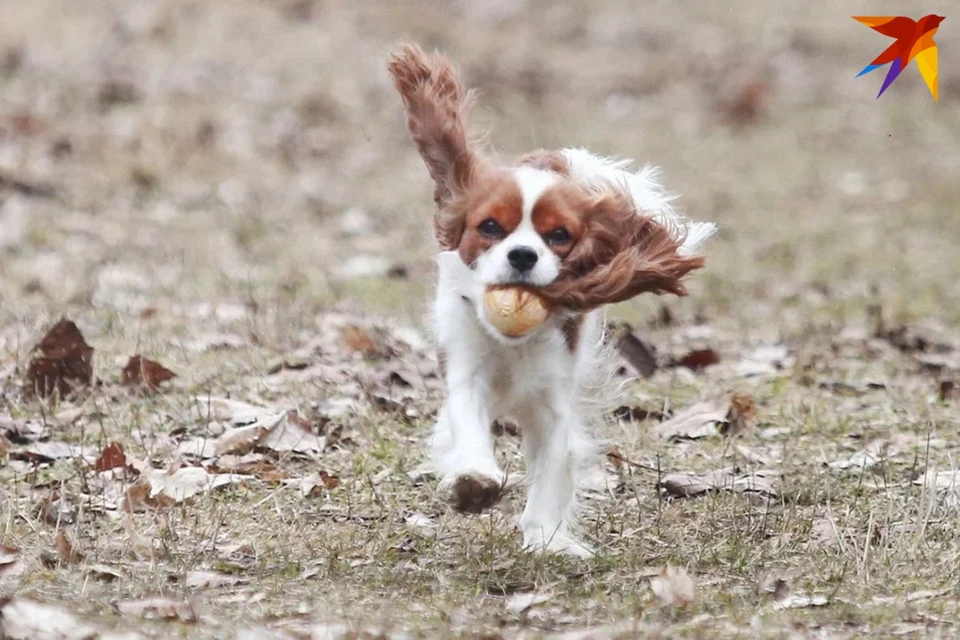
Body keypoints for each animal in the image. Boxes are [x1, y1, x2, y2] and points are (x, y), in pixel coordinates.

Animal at [384, 45, 712, 556]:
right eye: (490, 227)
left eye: (559, 235)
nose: (522, 255)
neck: (514, 343)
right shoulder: (467, 373)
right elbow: (470, 428)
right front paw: (474, 481)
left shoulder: (554, 404)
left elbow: (552, 468)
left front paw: (544, 536)